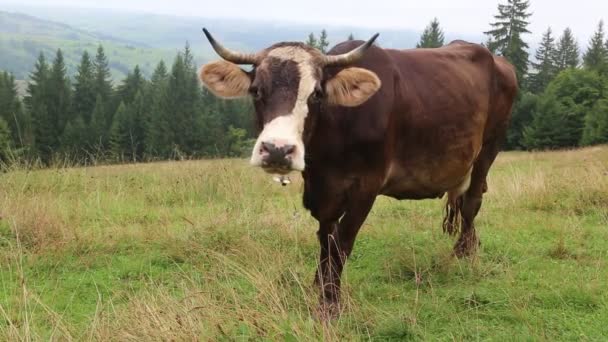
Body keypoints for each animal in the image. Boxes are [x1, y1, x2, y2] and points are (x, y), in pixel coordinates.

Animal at [200, 28, 516, 316]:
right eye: (256, 90)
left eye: (316, 94)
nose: (278, 150)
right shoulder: (322, 191)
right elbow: (326, 241)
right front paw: (319, 286)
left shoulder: (366, 186)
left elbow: (342, 243)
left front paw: (329, 305)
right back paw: (471, 244)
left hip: (490, 146)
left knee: (472, 201)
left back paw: (462, 253)